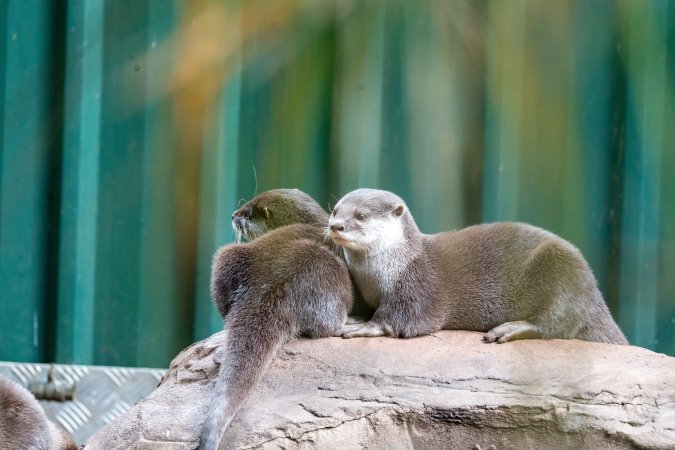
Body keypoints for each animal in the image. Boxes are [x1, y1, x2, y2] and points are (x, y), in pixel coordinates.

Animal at [328, 188, 627, 345]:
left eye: (361, 216)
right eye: (335, 210)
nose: (335, 226)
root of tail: (596, 299)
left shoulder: (420, 286)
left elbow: (404, 319)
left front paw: (366, 326)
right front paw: (355, 317)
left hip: (561, 268)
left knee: (557, 323)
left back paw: (508, 329)